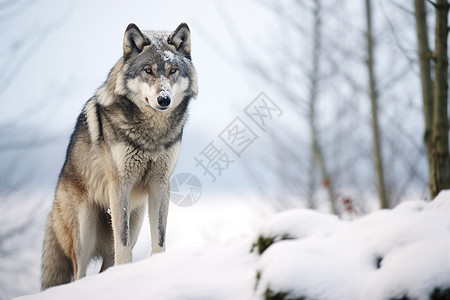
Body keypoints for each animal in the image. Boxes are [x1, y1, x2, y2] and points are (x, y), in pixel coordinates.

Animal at [40, 22, 197, 290]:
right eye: (148, 70)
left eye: (173, 70)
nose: (164, 99)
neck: (152, 135)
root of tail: (53, 209)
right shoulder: (120, 184)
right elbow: (122, 246)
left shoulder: (160, 184)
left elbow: (159, 239)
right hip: (84, 227)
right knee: (79, 273)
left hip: (136, 220)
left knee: (106, 265)